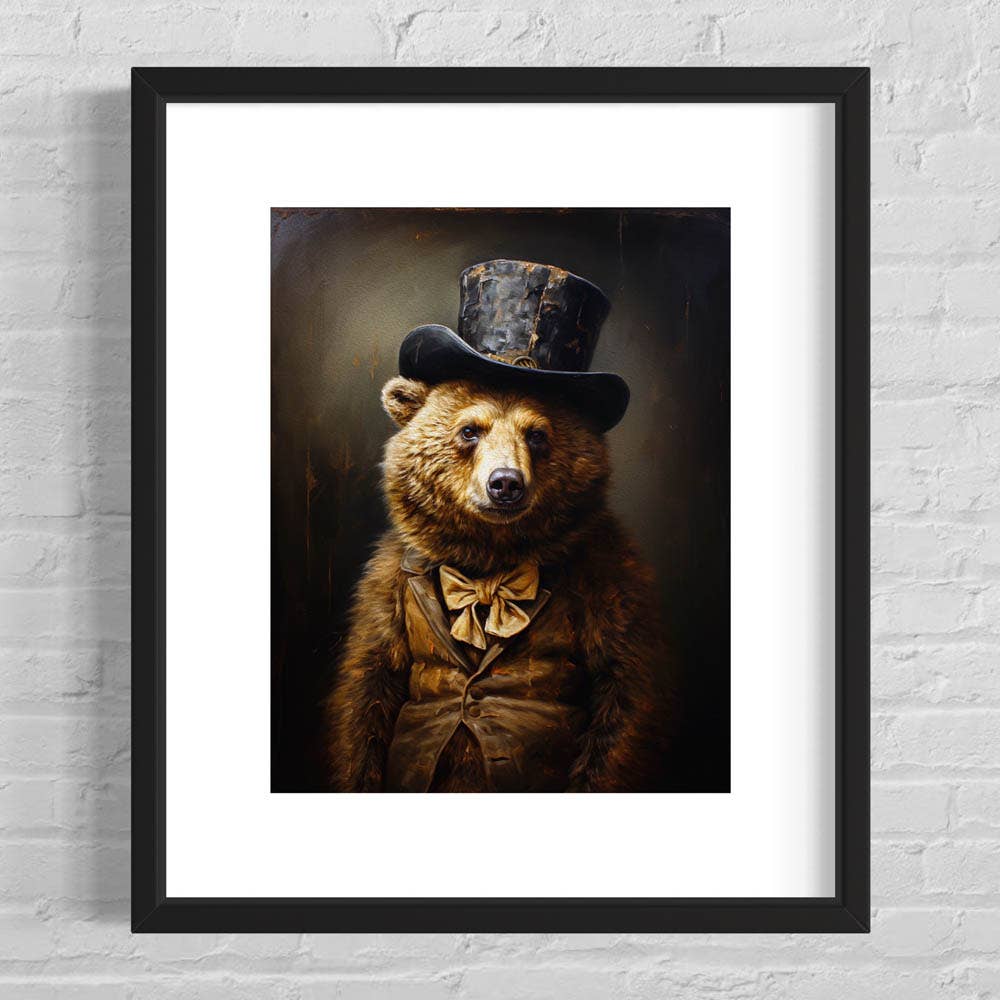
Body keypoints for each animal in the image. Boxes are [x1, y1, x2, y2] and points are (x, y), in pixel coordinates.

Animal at [325, 375, 670, 793]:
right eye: (470, 430)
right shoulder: (387, 580)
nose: (505, 483)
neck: (489, 558)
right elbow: (370, 681)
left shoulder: (609, 578)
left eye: (536, 434)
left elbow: (622, 684)